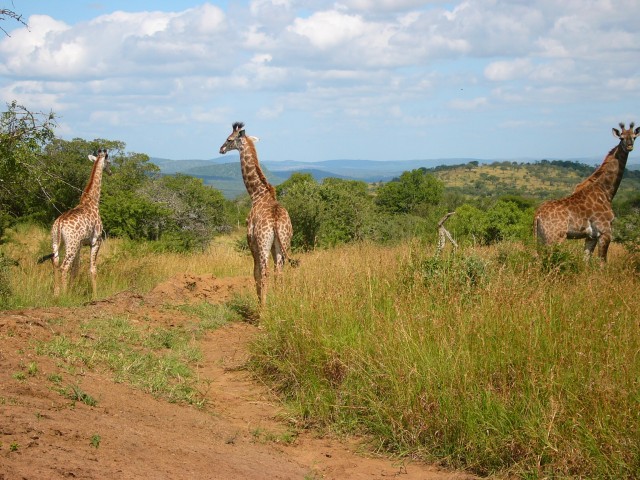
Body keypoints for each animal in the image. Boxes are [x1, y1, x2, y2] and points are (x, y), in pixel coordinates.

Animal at [38, 149, 110, 296]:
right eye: (109, 162)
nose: (110, 172)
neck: (92, 201)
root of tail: (59, 223)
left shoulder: (81, 243)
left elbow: (76, 269)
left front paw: (72, 291)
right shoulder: (96, 240)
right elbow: (92, 269)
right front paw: (95, 295)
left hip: (57, 241)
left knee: (55, 261)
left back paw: (56, 292)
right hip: (71, 244)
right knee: (64, 266)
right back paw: (64, 295)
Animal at [218, 122, 292, 306]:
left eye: (229, 139)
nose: (221, 149)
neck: (257, 194)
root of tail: (275, 221)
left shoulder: (251, 241)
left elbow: (255, 272)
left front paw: (260, 302)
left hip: (263, 243)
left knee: (265, 272)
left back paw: (262, 309)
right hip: (284, 242)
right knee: (279, 271)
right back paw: (280, 303)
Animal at [532, 122, 636, 260]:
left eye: (634, 137)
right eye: (621, 138)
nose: (629, 146)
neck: (606, 191)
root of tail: (537, 214)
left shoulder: (591, 236)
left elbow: (586, 259)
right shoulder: (605, 232)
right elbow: (602, 261)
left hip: (541, 238)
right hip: (554, 238)